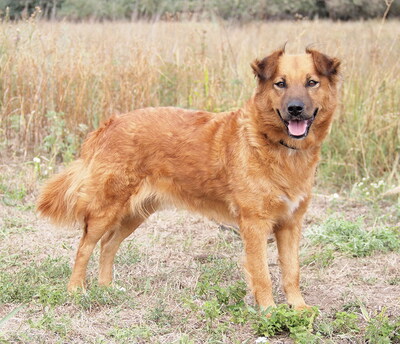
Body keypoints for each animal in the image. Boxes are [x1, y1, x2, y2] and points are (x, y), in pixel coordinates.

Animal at [36, 47, 340, 310]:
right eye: (280, 84)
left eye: (311, 82)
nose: (295, 108)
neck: (277, 145)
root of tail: (110, 123)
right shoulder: (255, 224)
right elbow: (262, 275)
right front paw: (269, 311)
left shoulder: (290, 223)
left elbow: (292, 272)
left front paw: (298, 308)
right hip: (106, 210)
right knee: (84, 246)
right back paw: (76, 289)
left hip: (136, 213)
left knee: (107, 245)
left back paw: (107, 287)